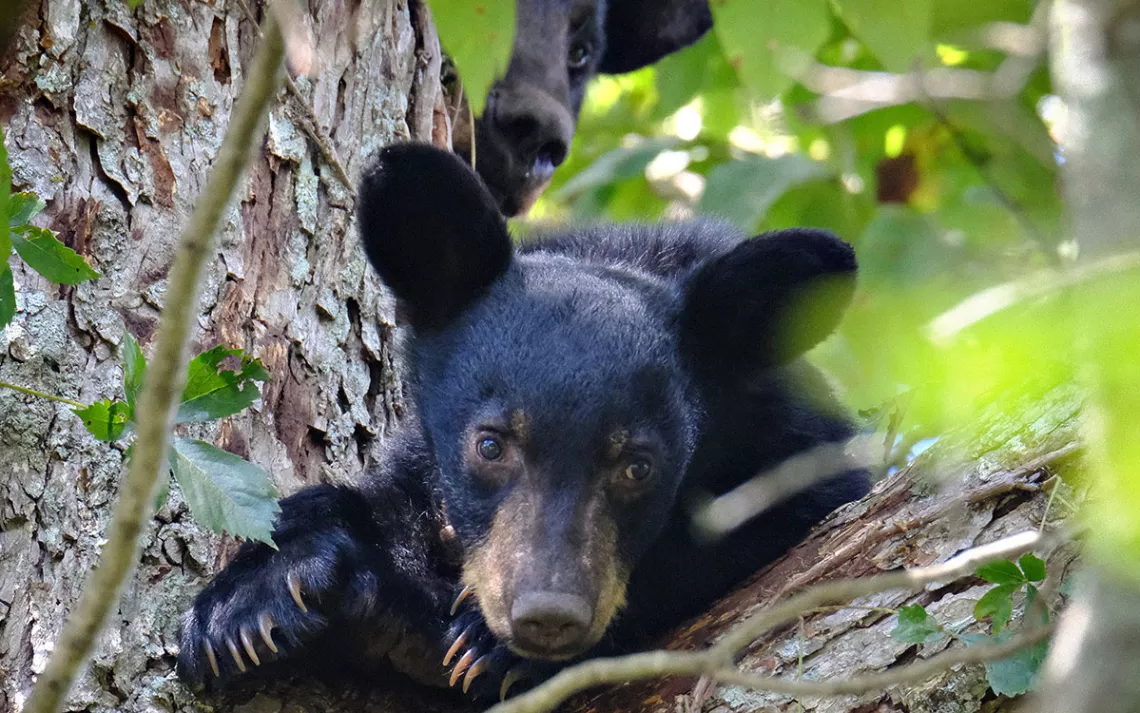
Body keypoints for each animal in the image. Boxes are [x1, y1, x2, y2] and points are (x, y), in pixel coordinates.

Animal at [177, 143, 866, 702]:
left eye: (638, 466)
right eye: (490, 445)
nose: (548, 617)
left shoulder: (796, 441)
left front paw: (481, 646)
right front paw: (253, 599)